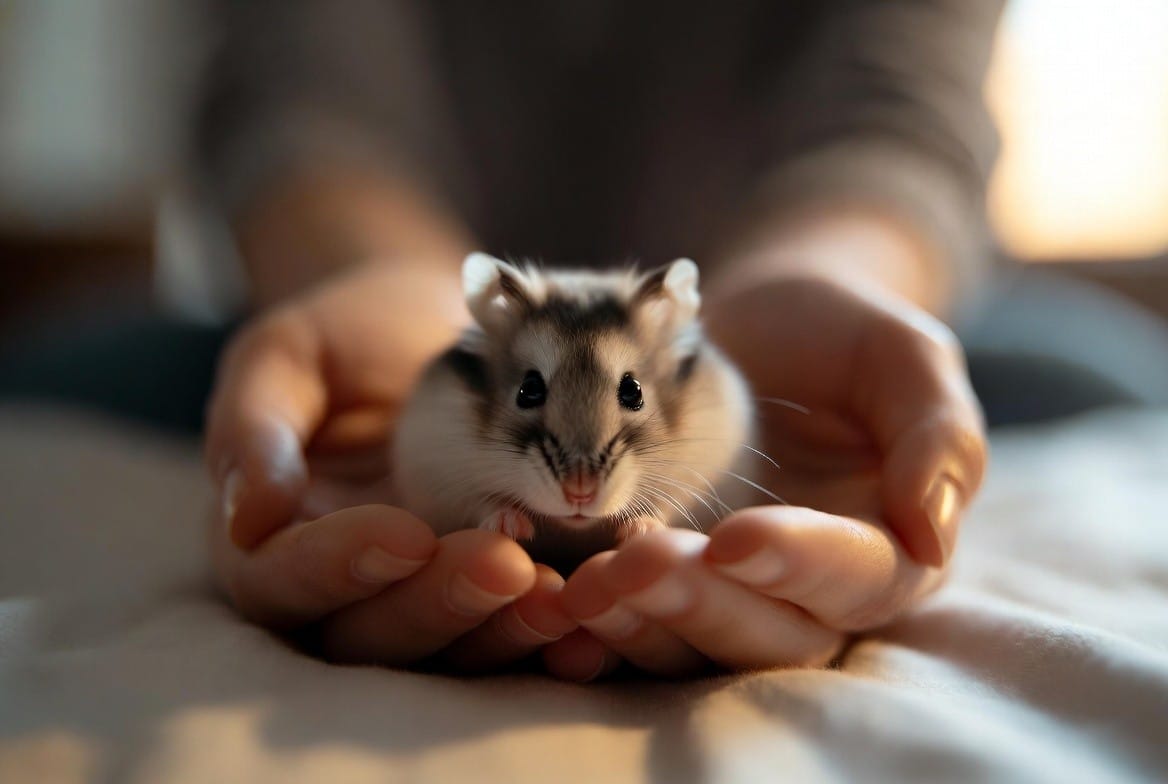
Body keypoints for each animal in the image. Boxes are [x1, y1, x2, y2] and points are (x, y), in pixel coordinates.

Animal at [392, 253, 758, 565]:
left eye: (633, 391)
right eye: (528, 390)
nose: (579, 492)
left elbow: (668, 504)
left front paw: (638, 530)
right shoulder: (439, 479)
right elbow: (483, 502)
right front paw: (511, 527)